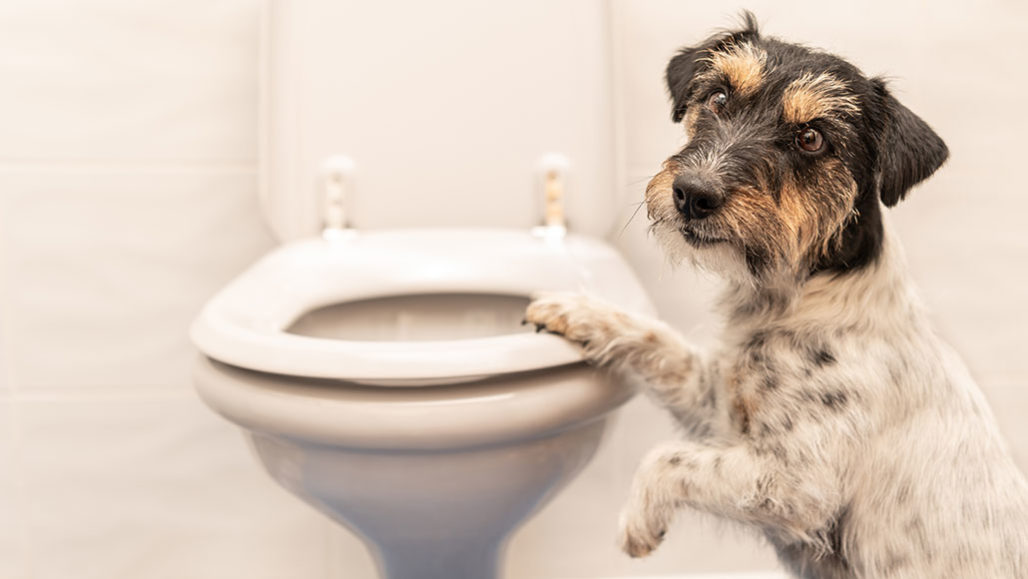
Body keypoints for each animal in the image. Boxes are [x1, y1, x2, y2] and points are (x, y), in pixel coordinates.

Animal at [526, 13, 1028, 579]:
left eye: (811, 137)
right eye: (718, 97)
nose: (691, 194)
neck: (802, 298)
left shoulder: (796, 484)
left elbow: (665, 458)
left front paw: (637, 521)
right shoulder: (716, 401)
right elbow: (658, 341)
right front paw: (574, 309)